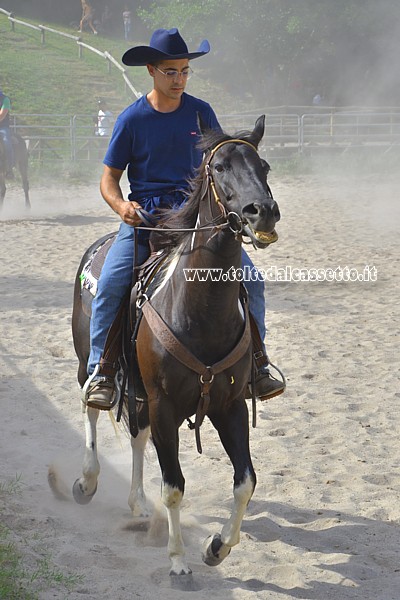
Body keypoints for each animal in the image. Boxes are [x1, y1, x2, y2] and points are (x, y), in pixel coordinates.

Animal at [69, 116, 282, 576]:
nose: (263, 211)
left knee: (136, 435)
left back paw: (136, 502)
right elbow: (173, 486)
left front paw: (217, 547)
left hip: (141, 393)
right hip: (89, 362)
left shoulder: (229, 405)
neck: (199, 309)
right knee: (91, 404)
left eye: (265, 166)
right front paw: (179, 561)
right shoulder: (165, 404)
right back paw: (87, 480)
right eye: (218, 167)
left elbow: (246, 481)